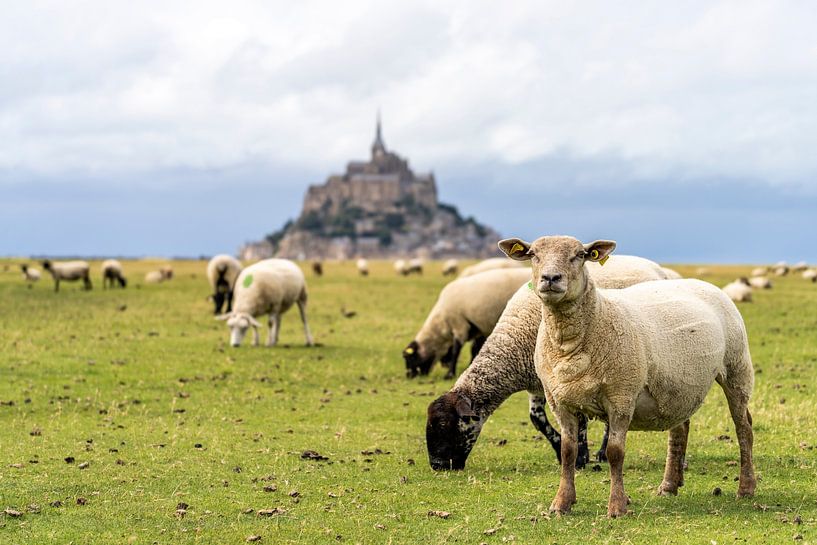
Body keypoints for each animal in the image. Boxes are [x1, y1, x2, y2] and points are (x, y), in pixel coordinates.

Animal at [426, 255, 671, 472]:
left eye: (445, 425)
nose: (437, 466)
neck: (514, 342)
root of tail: (657, 269)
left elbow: (580, 419)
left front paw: (581, 457)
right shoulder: (537, 380)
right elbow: (537, 419)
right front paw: (561, 450)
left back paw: (602, 452)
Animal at [498, 235, 755, 517]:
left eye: (580, 255)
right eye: (533, 254)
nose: (550, 278)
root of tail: (703, 283)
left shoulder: (621, 397)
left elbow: (615, 452)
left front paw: (617, 506)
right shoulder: (560, 402)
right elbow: (568, 452)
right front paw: (561, 504)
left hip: (736, 368)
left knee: (744, 427)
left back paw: (746, 488)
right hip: (677, 384)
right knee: (680, 428)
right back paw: (669, 485)